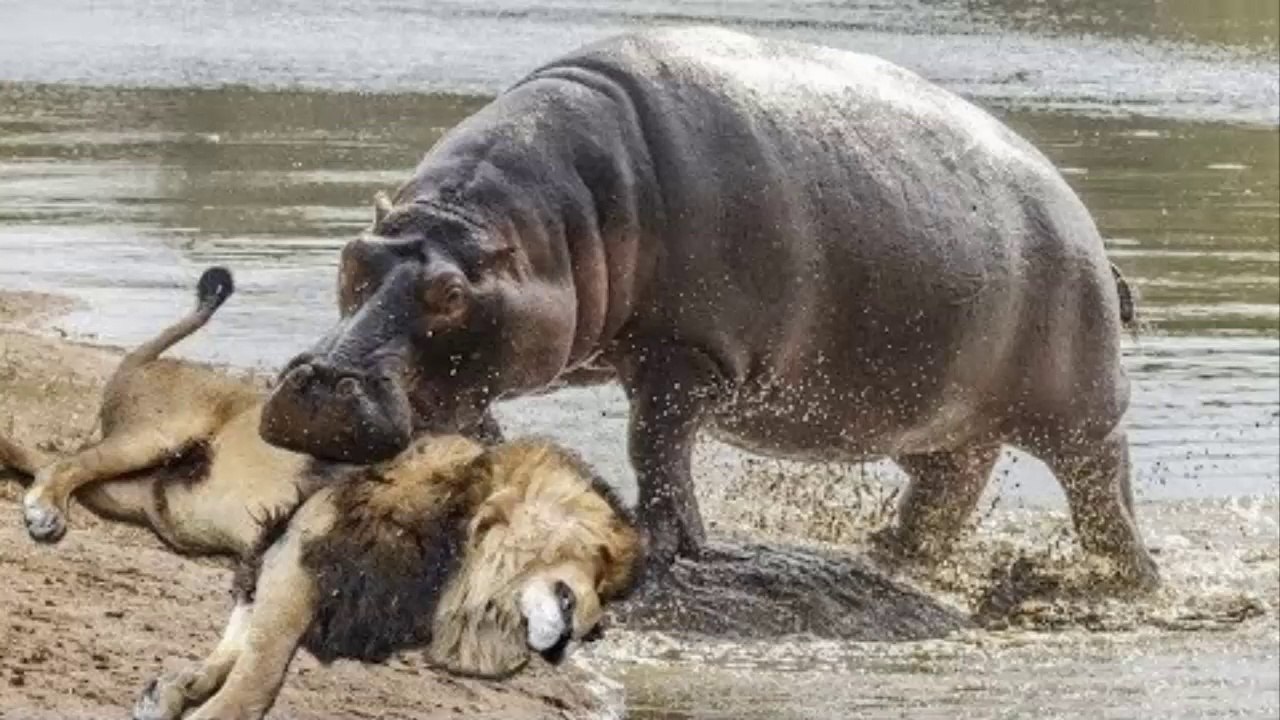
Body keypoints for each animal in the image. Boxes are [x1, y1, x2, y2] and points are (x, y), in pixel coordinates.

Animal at [260, 27, 1158, 590]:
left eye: (448, 294)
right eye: (352, 259)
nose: (320, 380)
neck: (550, 229)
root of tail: (1086, 225)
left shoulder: (688, 354)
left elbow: (655, 443)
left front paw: (669, 545)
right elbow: (473, 419)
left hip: (1076, 407)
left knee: (1101, 485)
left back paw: (1123, 581)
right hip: (939, 413)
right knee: (952, 481)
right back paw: (891, 552)